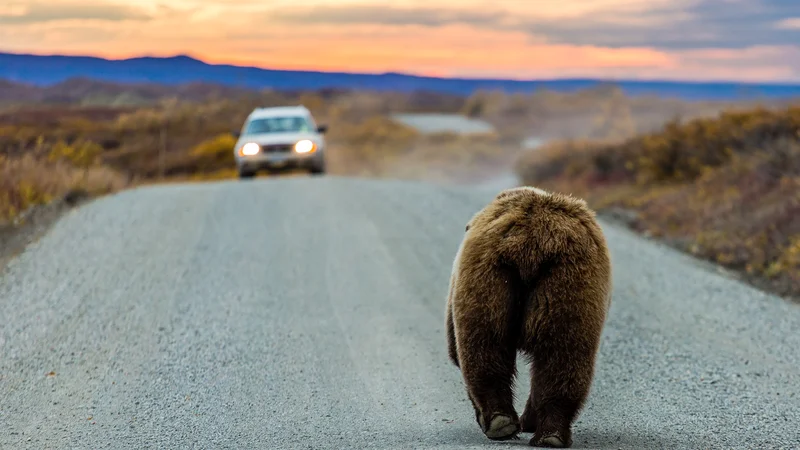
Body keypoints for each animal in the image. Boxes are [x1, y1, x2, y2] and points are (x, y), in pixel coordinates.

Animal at [444, 185, 612, 446]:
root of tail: (531, 241)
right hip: (568, 282)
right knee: (563, 354)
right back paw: (549, 435)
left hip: (487, 276)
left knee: (483, 348)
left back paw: (500, 422)